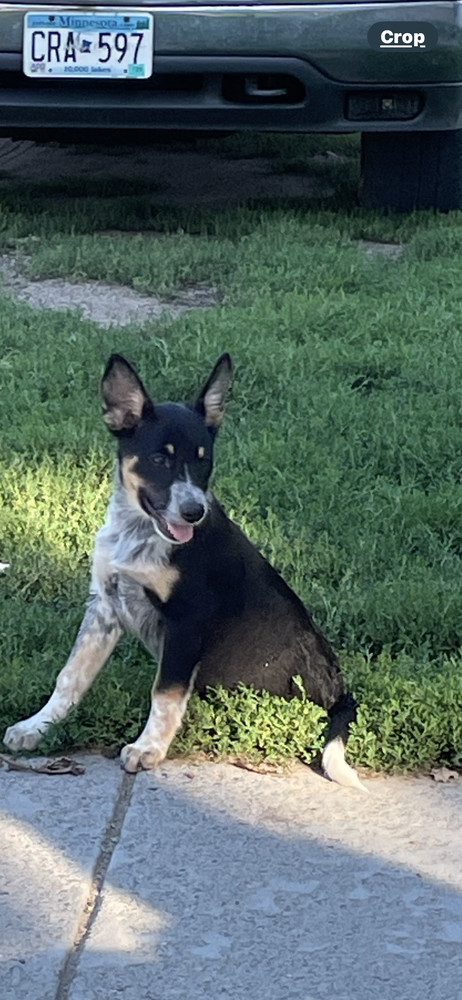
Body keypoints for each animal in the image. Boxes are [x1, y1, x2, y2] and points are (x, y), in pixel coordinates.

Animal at [4, 352, 364, 788]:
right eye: (160, 458)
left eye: (203, 458)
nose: (194, 511)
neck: (140, 534)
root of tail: (339, 691)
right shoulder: (104, 605)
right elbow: (70, 676)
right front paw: (36, 727)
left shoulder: (187, 619)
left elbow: (165, 692)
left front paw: (148, 749)